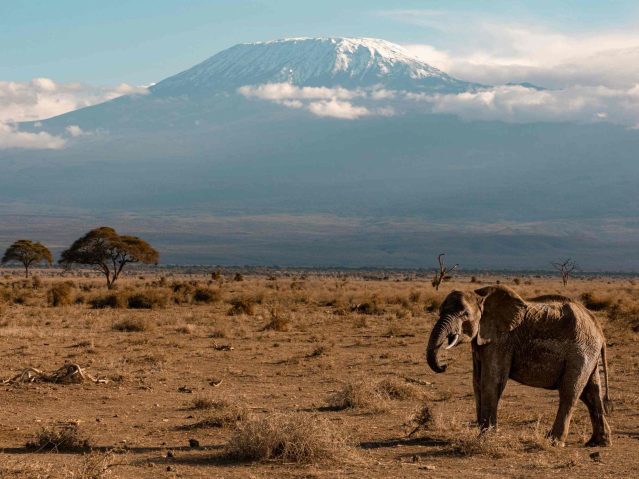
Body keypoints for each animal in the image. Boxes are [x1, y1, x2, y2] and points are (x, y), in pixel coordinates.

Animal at [428, 284, 612, 448]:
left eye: (465, 314)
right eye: (440, 311)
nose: (444, 366)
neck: (481, 296)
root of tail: (599, 331)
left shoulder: (502, 340)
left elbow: (492, 381)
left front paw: (486, 438)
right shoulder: (482, 341)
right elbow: (477, 382)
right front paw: (482, 434)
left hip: (581, 352)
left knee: (570, 391)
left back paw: (554, 442)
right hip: (588, 353)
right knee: (591, 392)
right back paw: (598, 442)